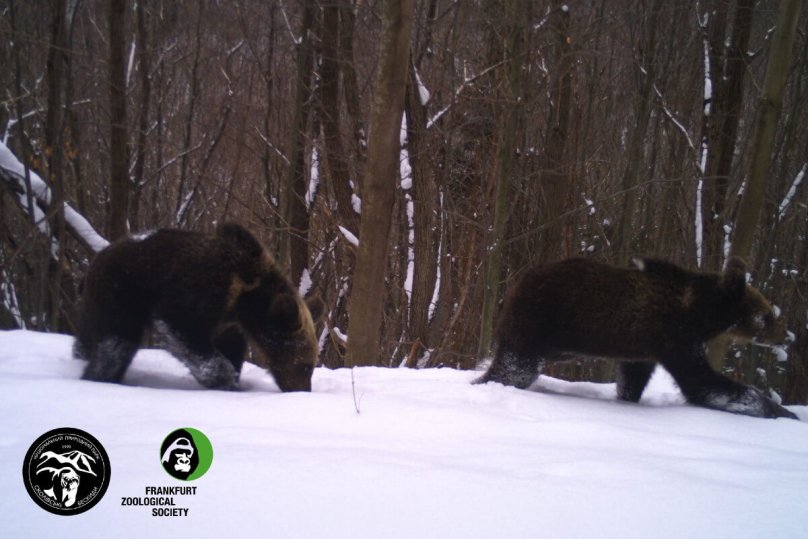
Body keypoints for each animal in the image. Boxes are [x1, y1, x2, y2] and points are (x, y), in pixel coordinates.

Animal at [73, 224, 326, 392]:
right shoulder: (199, 290)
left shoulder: (227, 323)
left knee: (89, 338)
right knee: (117, 343)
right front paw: (224, 381)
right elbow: (182, 331)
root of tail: (92, 265)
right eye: (304, 366)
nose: (302, 389)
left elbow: (231, 348)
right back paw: (101, 376)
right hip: (120, 295)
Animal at [476, 258, 800, 422]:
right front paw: (781, 410)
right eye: (767, 314)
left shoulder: (644, 350)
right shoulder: (676, 337)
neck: (701, 314)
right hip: (537, 322)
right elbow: (702, 383)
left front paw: (626, 397)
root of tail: (512, 286)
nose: (787, 336)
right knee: (515, 368)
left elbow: (633, 378)